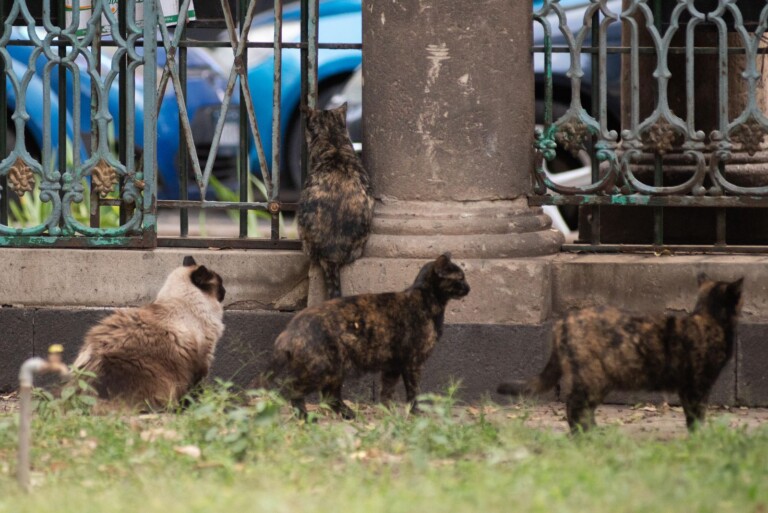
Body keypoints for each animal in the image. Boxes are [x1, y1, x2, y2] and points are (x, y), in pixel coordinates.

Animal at [270, 254, 474, 418]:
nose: (469, 288)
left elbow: (386, 392)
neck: (426, 300)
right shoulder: (413, 362)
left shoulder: (393, 366)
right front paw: (416, 414)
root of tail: (290, 329)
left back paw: (349, 415)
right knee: (295, 391)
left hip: (335, 371)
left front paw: (388, 414)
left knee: (329, 397)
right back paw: (304, 418)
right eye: (460, 278)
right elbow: (414, 392)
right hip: (321, 369)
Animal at [498, 274, 744, 430]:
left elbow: (691, 416)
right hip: (594, 378)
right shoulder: (697, 385)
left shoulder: (687, 388)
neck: (709, 317)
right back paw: (587, 437)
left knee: (582, 409)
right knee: (574, 407)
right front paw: (699, 438)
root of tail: (562, 321)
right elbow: (697, 415)